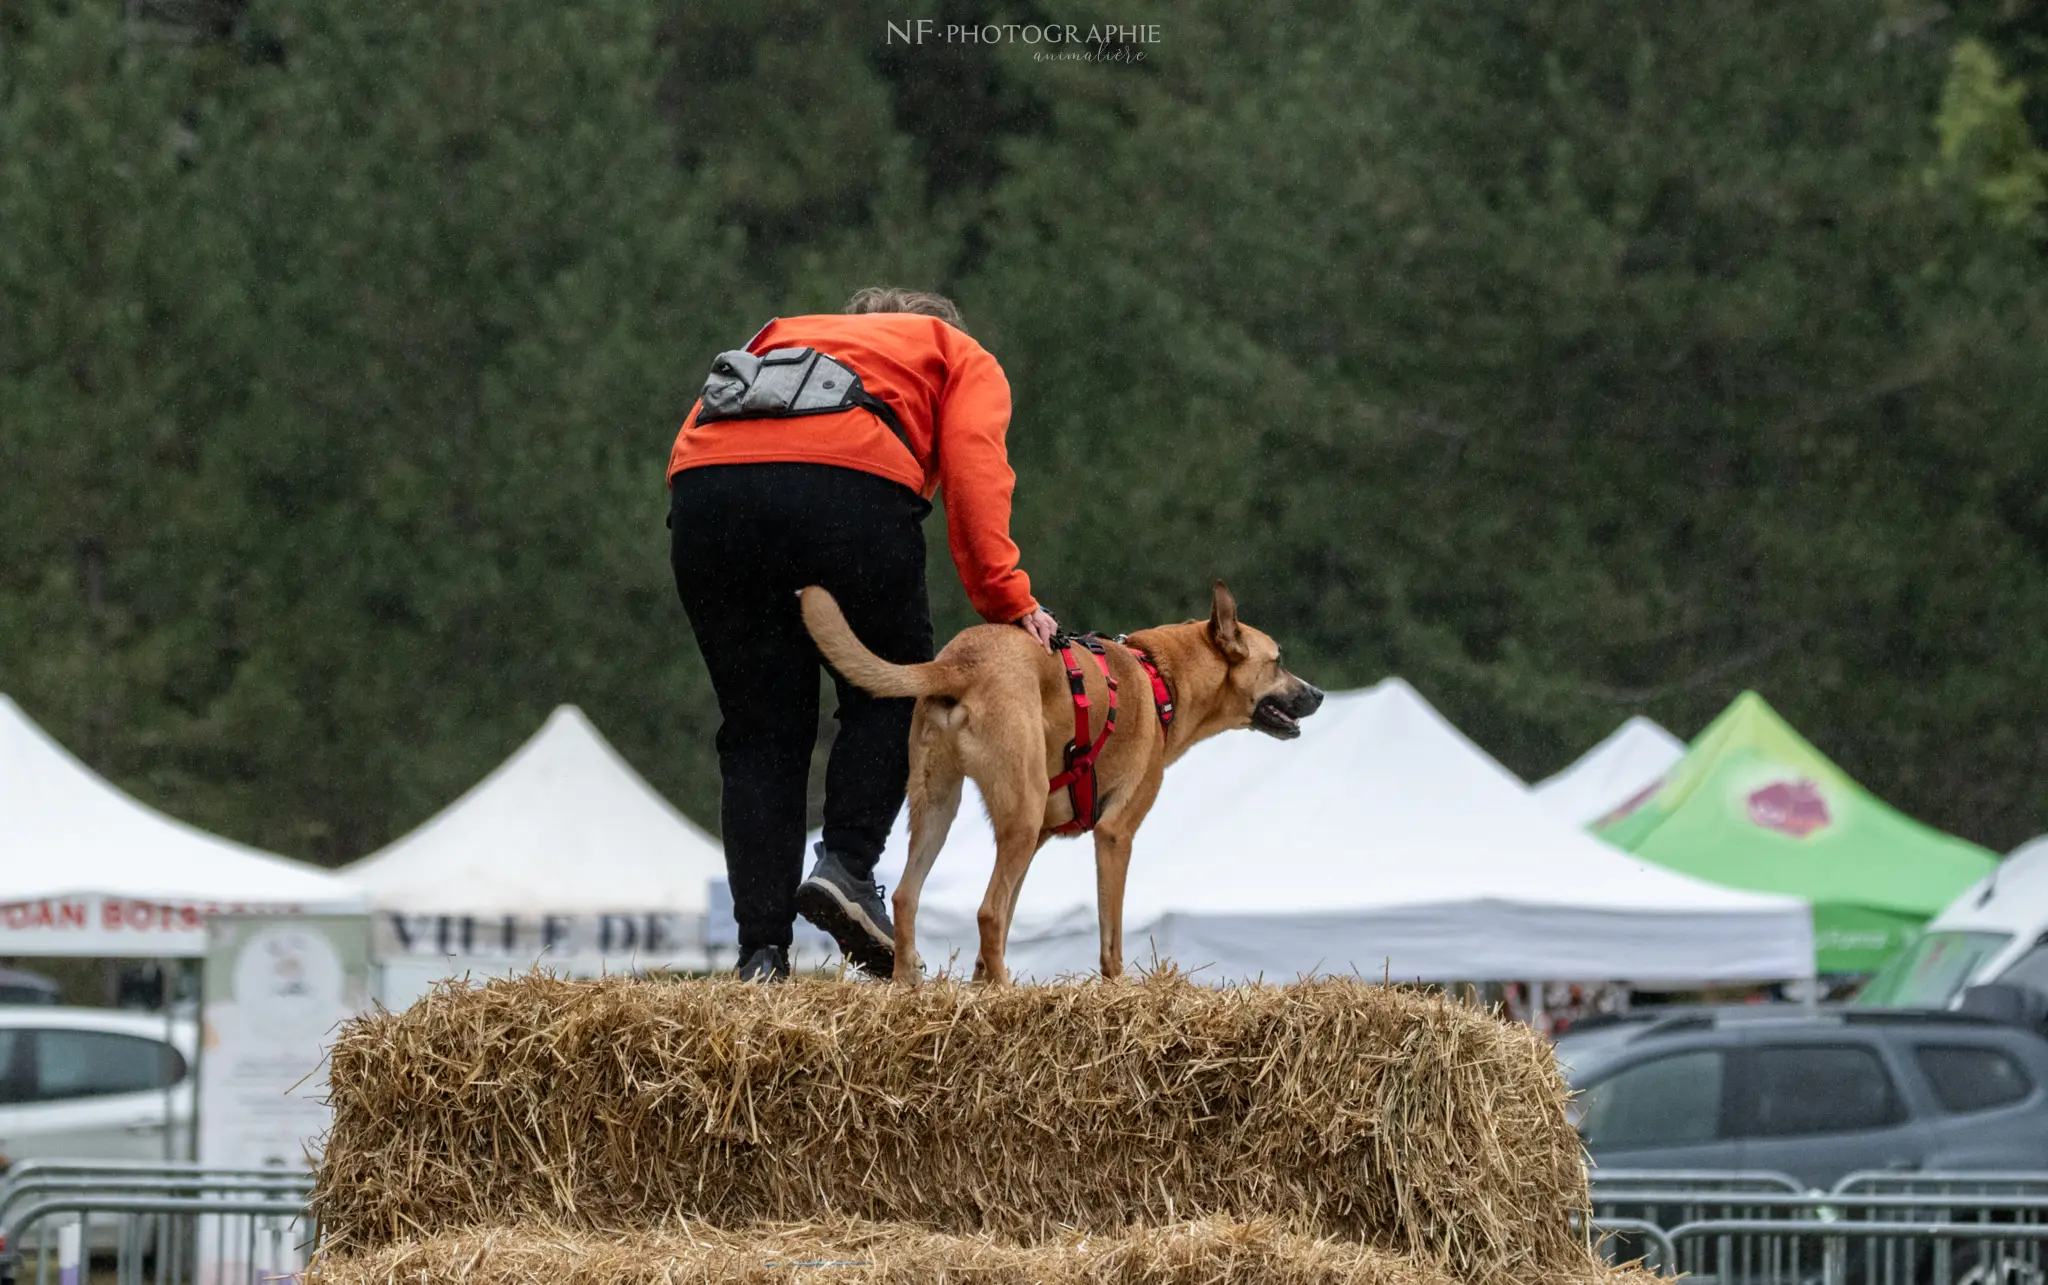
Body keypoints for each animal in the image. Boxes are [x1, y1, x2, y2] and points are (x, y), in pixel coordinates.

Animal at [790, 582, 1318, 983]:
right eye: (1278, 661)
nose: (1317, 694)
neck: (1158, 678)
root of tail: (959, 662)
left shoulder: (1040, 839)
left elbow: (997, 936)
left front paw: (979, 985)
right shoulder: (1114, 834)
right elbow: (1110, 935)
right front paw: (1117, 988)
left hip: (941, 809)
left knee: (908, 897)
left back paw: (909, 986)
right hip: (1018, 816)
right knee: (987, 911)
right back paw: (1005, 993)